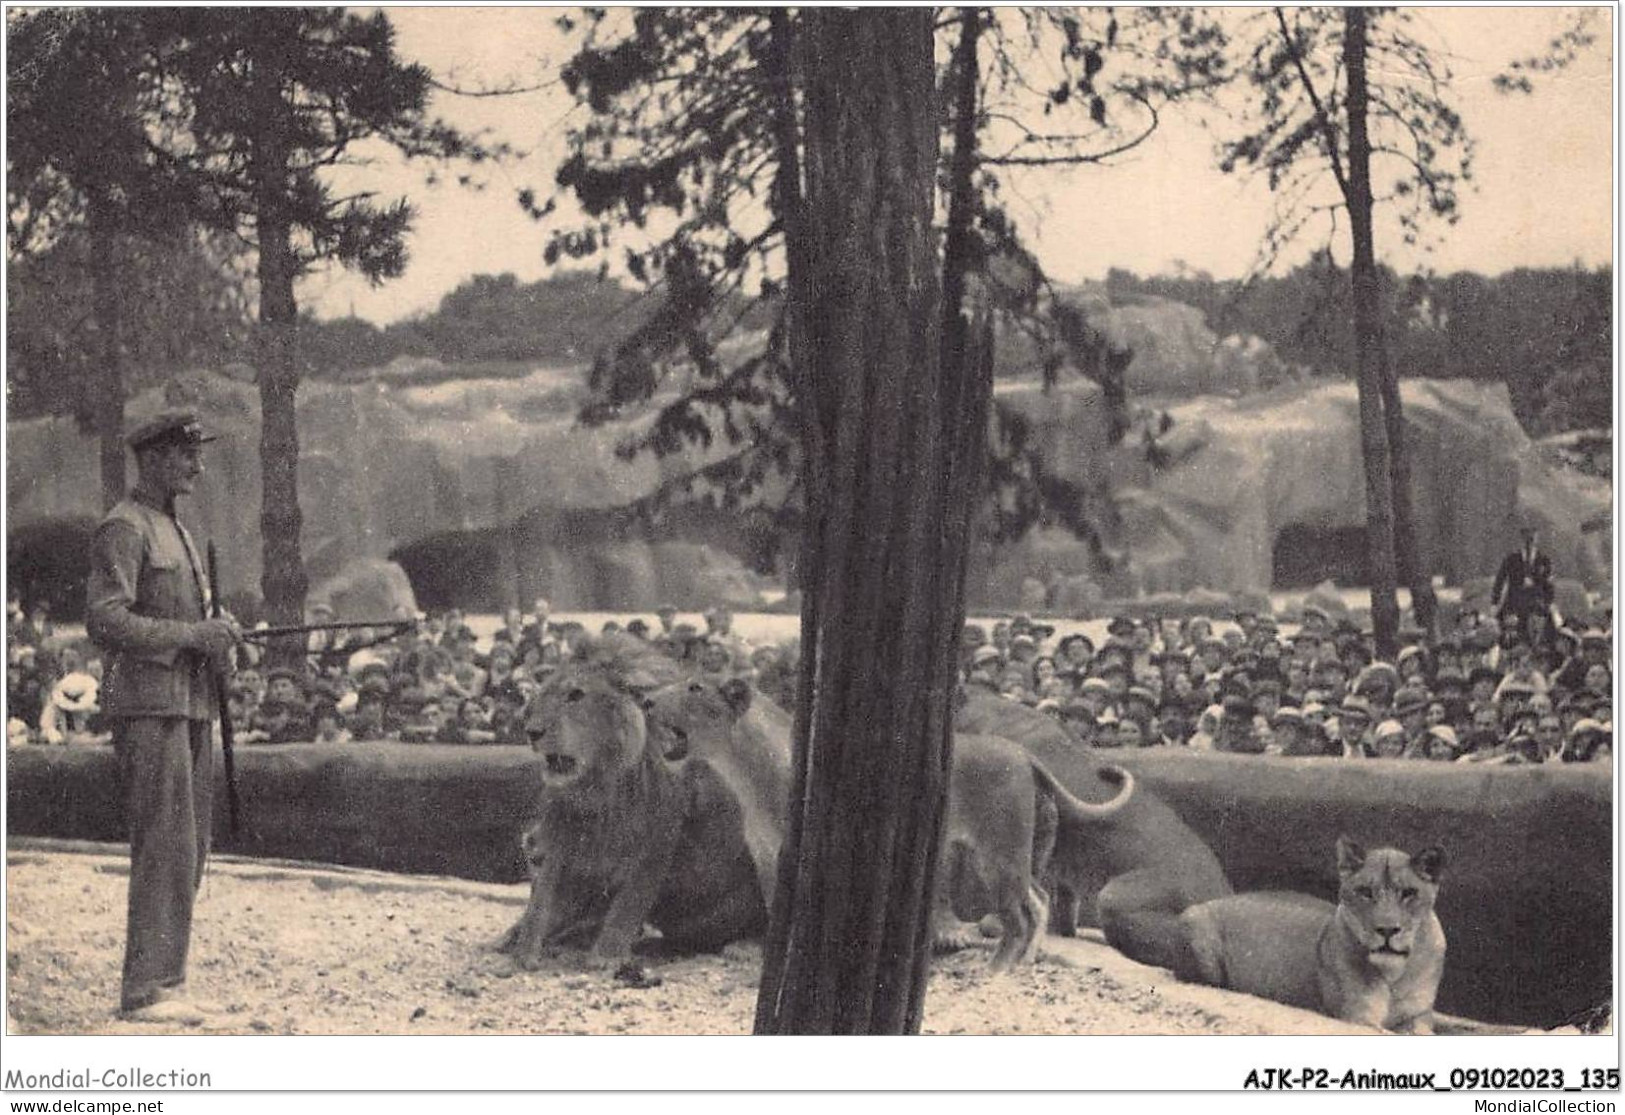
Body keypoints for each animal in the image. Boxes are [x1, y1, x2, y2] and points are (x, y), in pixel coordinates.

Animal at [1176, 832, 1456, 1033]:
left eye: (1409, 893)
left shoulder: (1418, 1016)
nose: (1387, 930)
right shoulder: (1358, 1016)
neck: (1394, 975)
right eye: (1365, 892)